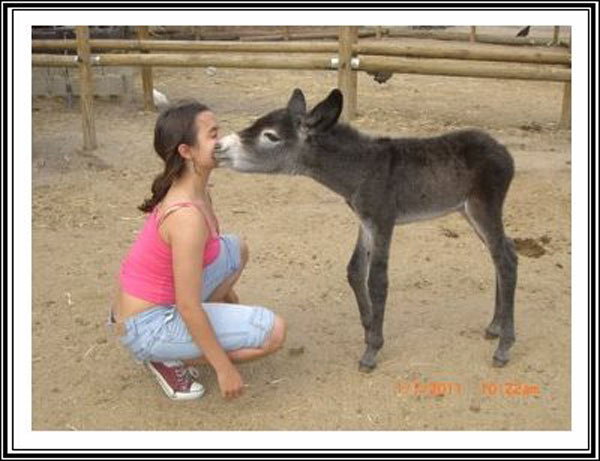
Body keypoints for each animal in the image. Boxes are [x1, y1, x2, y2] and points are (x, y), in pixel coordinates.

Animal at [216, 88, 516, 372]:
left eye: (270, 136)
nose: (218, 146)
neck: (362, 168)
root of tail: (502, 150)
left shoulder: (383, 220)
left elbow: (378, 281)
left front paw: (372, 351)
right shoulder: (365, 221)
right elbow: (355, 271)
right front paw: (370, 330)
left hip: (483, 207)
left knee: (505, 261)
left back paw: (504, 347)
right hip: (467, 211)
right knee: (504, 253)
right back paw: (495, 326)